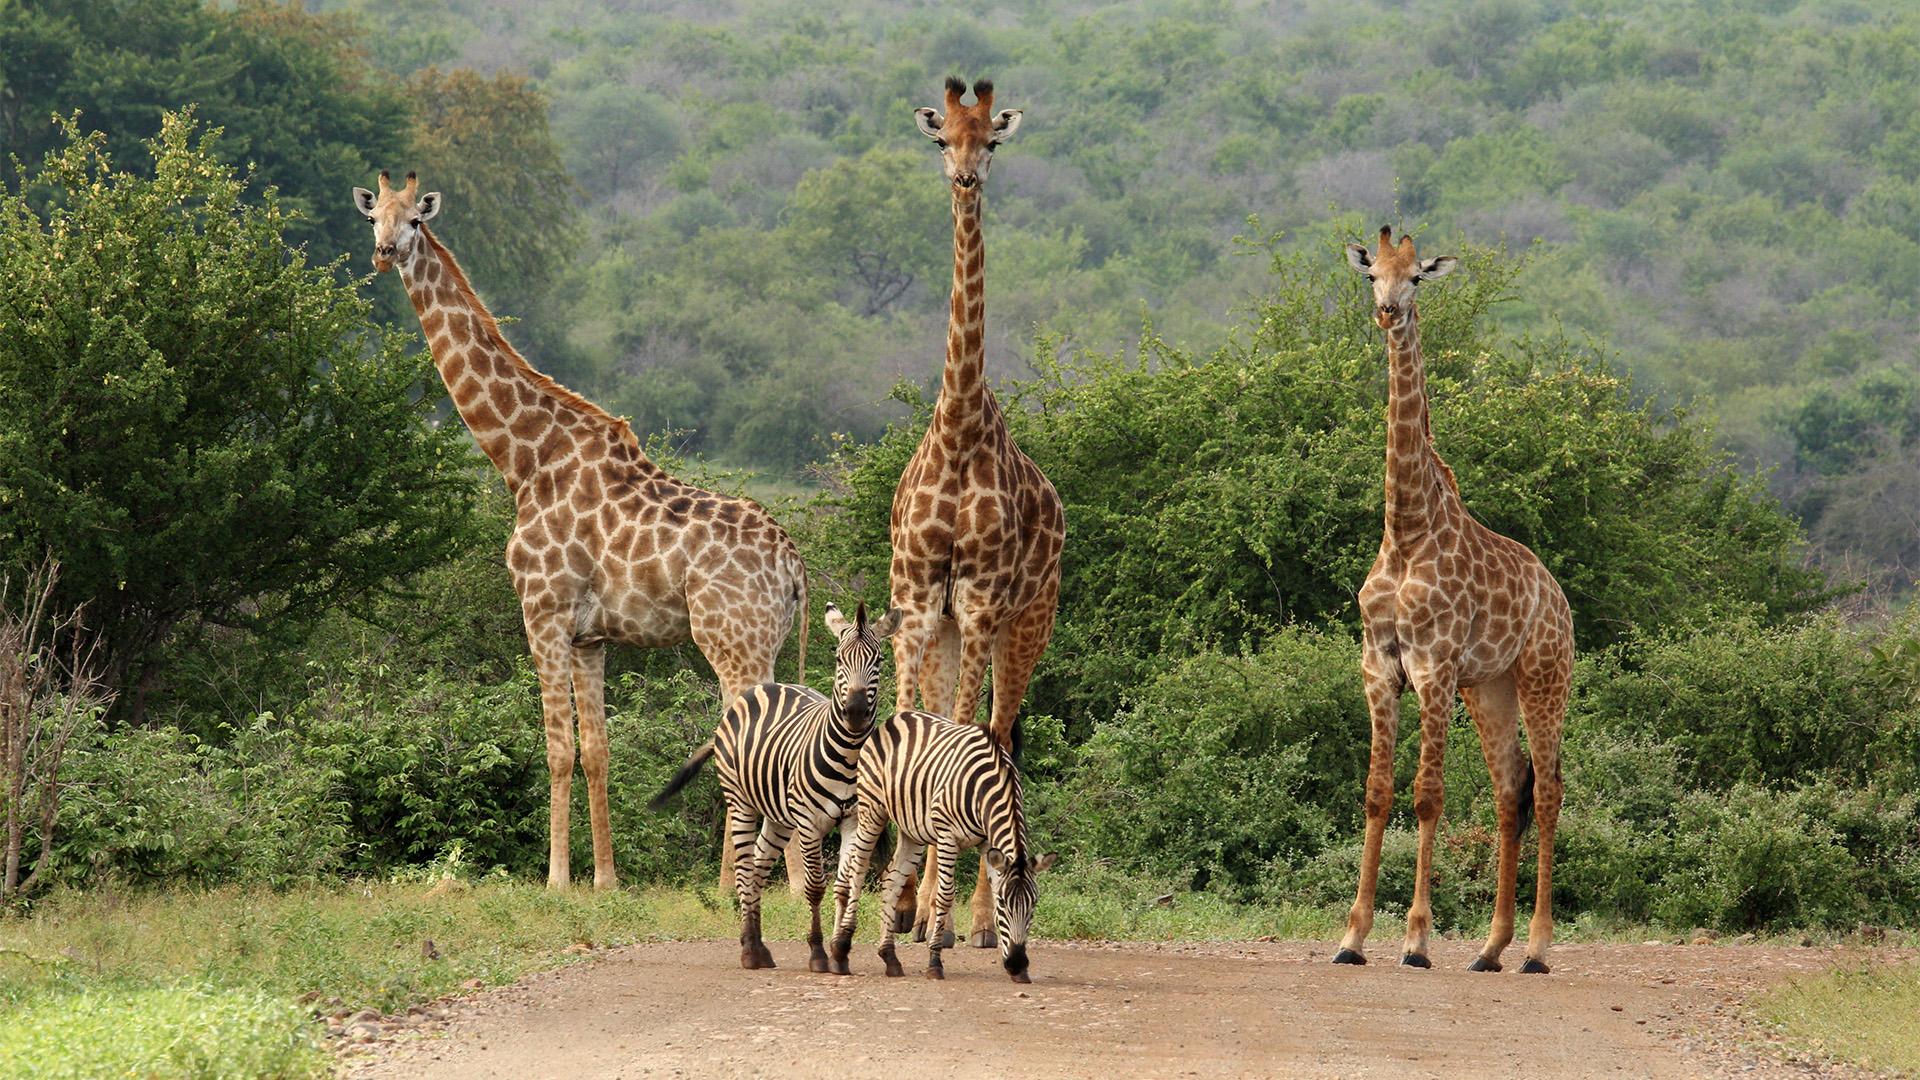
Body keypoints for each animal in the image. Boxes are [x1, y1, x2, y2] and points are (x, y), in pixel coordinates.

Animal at [349, 171, 806, 887]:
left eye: (416, 221)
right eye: (374, 218)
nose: (385, 252)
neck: (526, 460)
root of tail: (793, 565)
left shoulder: (542, 610)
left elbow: (556, 747)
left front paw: (557, 879)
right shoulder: (592, 636)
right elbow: (596, 749)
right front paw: (604, 880)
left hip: (734, 641)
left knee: (761, 743)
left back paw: (758, 887)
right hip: (766, 640)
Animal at [652, 599, 898, 972]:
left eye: (879, 660)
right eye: (839, 659)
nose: (855, 712)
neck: (850, 755)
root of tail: (764, 687)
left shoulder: (854, 819)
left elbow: (843, 885)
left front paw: (840, 953)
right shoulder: (810, 823)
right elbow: (815, 887)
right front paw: (818, 953)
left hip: (779, 817)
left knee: (757, 867)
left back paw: (754, 944)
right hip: (740, 802)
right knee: (743, 869)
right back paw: (751, 953)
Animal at [833, 711, 1059, 980]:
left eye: (1033, 905)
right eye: (1004, 904)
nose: (1017, 962)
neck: (988, 786)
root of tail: (897, 718)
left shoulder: (988, 843)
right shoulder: (947, 836)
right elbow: (945, 895)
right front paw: (935, 962)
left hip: (912, 831)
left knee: (891, 879)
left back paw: (890, 957)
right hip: (872, 808)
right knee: (858, 869)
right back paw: (841, 948)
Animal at [1336, 224, 1574, 968]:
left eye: (1417, 278)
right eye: (1371, 275)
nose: (1388, 312)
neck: (1407, 528)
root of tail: (1559, 597)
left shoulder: (1433, 666)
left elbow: (1427, 796)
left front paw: (1415, 939)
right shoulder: (1379, 665)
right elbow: (1377, 793)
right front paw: (1352, 937)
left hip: (1543, 678)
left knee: (1548, 790)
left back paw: (1537, 948)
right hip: (1489, 688)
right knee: (1509, 790)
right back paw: (1491, 948)